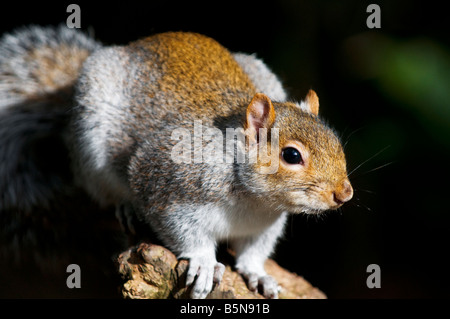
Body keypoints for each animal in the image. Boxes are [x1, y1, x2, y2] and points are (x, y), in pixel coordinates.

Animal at [0, 25, 352, 300]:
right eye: (291, 155)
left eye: (336, 141)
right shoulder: (166, 182)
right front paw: (204, 262)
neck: (253, 200)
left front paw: (257, 273)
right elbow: (182, 229)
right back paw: (125, 206)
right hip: (91, 138)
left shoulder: (265, 224)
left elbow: (253, 251)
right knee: (103, 191)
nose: (344, 194)